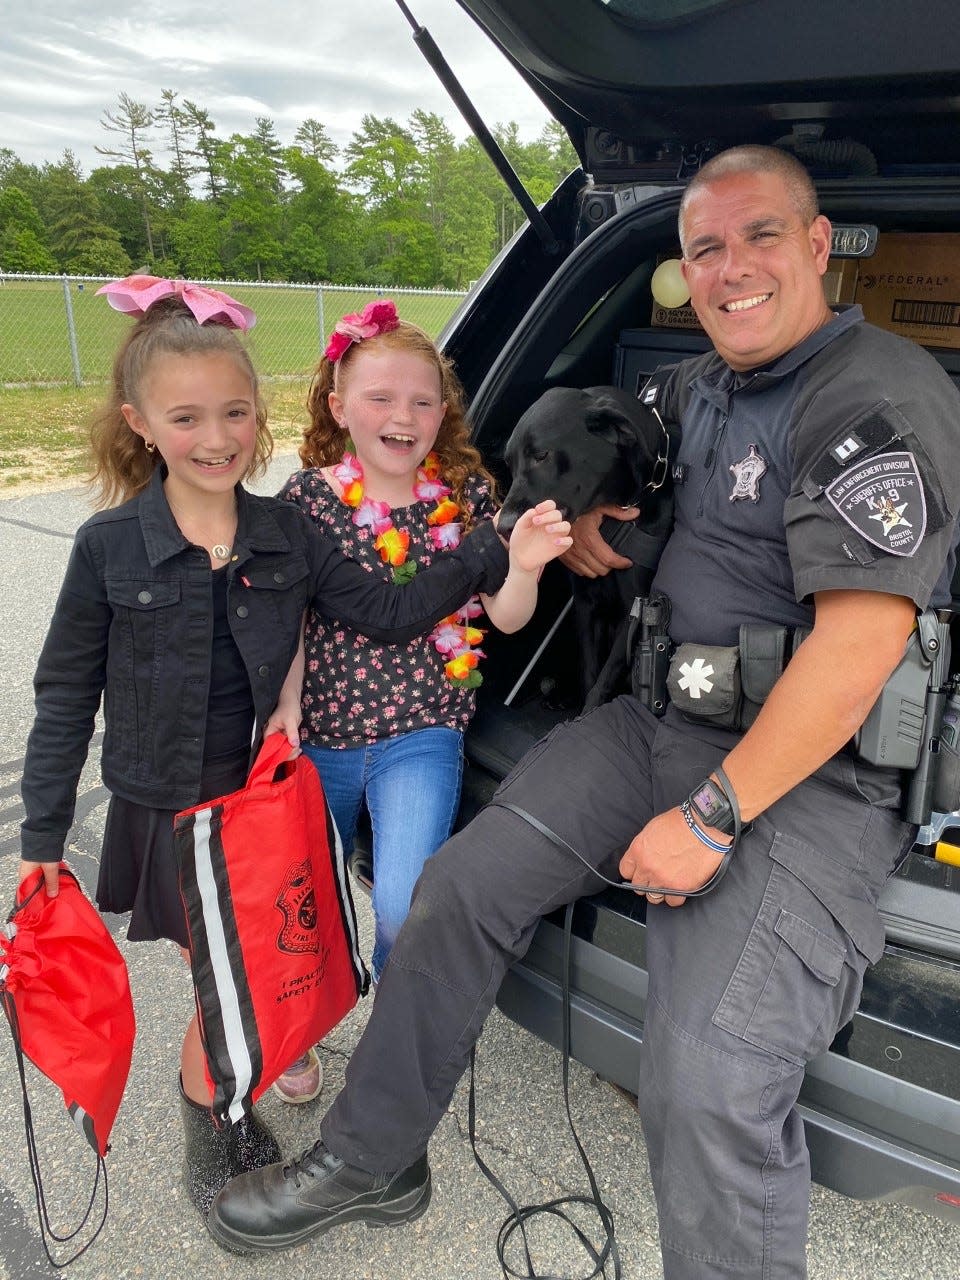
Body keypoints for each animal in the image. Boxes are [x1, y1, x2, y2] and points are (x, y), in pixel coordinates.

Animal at [499, 386, 670, 711]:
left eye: (541, 455)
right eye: (510, 466)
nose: (504, 527)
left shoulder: (634, 612)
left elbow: (602, 682)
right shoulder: (585, 604)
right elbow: (589, 672)